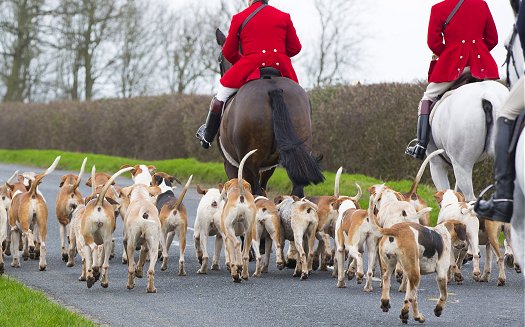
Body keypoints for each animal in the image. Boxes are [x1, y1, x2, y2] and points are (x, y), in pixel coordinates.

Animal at [214, 28, 324, 197]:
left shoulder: (231, 164)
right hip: (297, 154)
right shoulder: (269, 166)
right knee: (296, 191)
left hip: (250, 162)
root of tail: (273, 88)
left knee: (256, 192)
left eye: (220, 58)